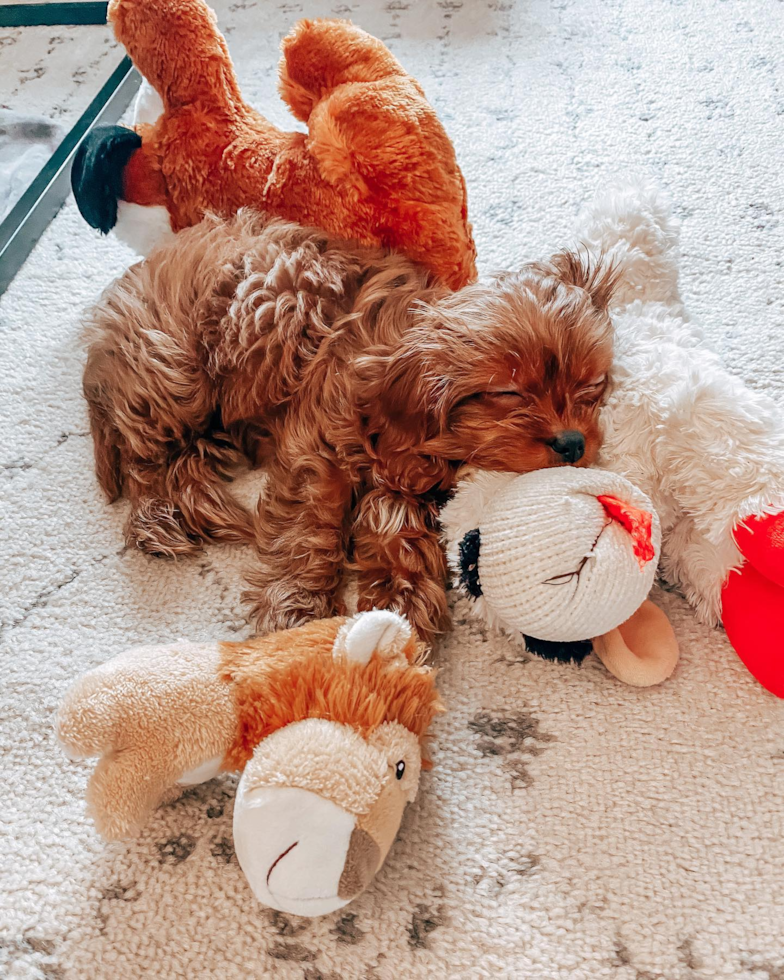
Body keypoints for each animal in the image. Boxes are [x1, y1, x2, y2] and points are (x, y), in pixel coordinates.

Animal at [82, 211, 616, 644]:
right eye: (509, 392)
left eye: (590, 385)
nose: (574, 443)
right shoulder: (318, 444)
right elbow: (310, 521)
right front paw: (297, 603)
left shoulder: (399, 476)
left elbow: (394, 523)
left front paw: (400, 601)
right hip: (174, 372)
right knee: (145, 459)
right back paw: (161, 519)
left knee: (183, 459)